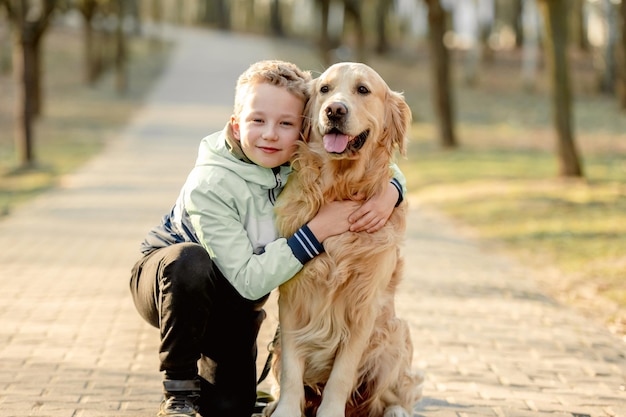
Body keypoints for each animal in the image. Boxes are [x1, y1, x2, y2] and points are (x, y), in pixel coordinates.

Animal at [266, 62, 422, 416]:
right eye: (324, 89)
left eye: (363, 90)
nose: (334, 110)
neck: (339, 187)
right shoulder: (293, 298)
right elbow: (292, 368)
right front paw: (285, 410)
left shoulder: (364, 305)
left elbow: (342, 373)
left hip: (395, 333)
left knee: (391, 396)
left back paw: (396, 410)